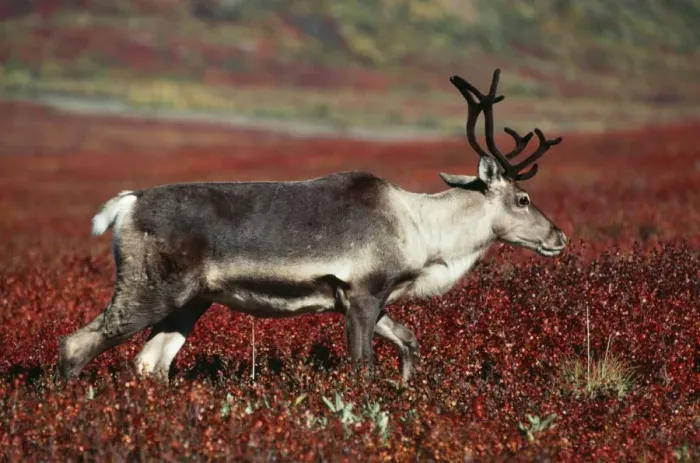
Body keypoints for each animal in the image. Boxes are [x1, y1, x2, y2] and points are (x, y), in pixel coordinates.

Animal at [55, 69, 567, 385]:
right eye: (523, 198)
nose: (559, 237)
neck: (423, 233)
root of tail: (126, 203)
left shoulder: (369, 300)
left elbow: (409, 342)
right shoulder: (362, 294)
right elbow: (362, 368)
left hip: (190, 301)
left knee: (149, 364)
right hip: (150, 289)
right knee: (76, 344)